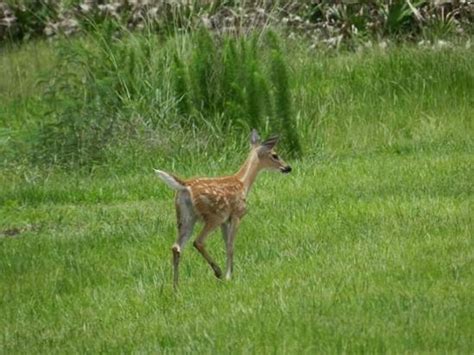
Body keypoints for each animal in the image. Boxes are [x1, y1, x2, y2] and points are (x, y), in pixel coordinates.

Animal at [154, 129, 290, 290]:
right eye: (275, 155)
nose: (288, 167)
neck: (243, 183)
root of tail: (185, 186)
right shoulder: (237, 214)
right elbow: (231, 245)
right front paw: (229, 276)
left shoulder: (226, 220)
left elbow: (226, 244)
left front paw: (230, 273)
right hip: (213, 216)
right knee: (198, 241)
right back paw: (217, 271)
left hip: (185, 216)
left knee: (176, 247)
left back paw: (175, 287)